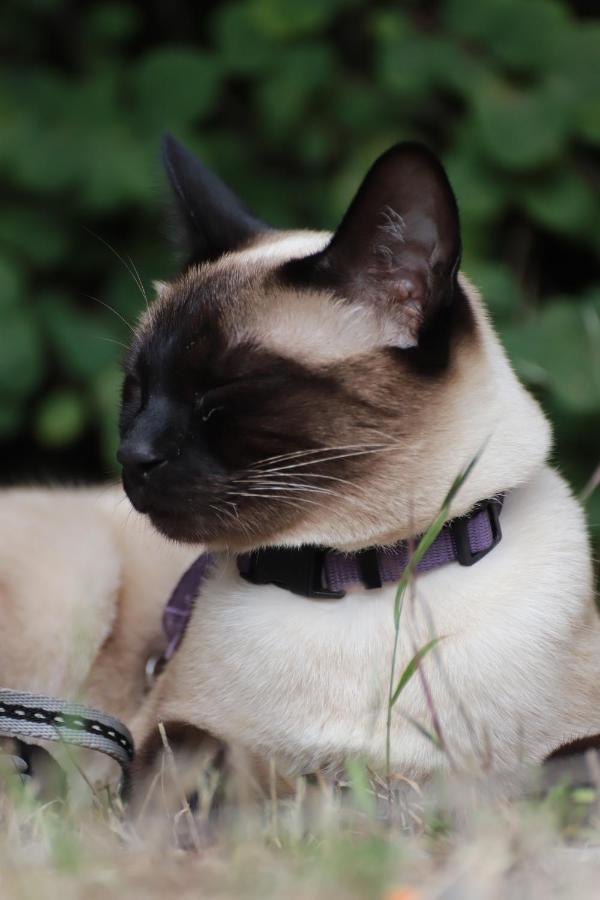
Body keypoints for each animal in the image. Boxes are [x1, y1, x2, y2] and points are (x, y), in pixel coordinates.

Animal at [2, 134, 596, 796]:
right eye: (136, 391)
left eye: (222, 393)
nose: (133, 456)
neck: (360, 574)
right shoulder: (159, 733)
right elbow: (200, 757)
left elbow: (562, 763)